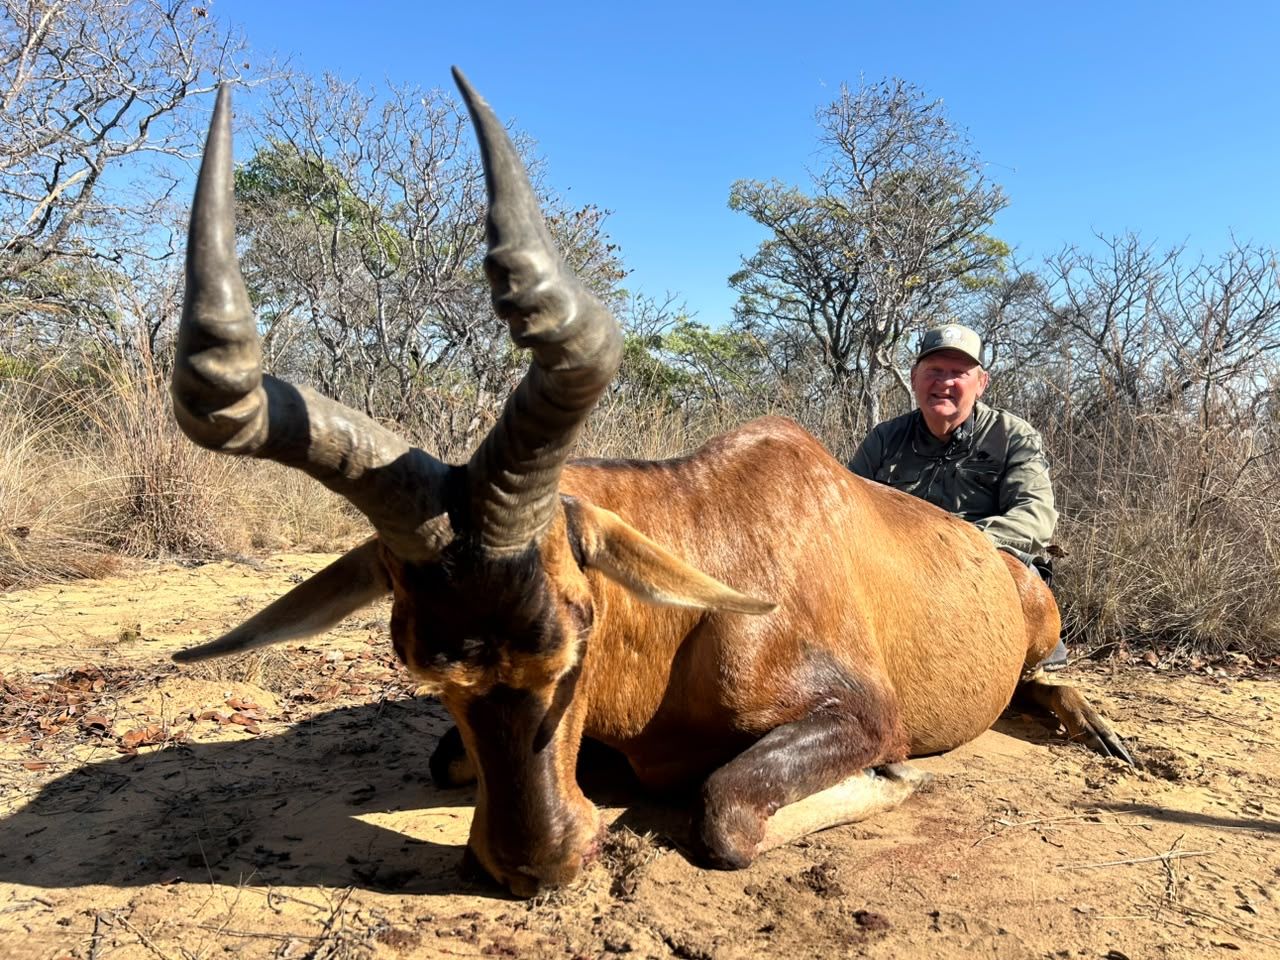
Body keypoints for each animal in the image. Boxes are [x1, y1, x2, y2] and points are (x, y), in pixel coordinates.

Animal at [171, 70, 1131, 898]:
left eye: (580, 627)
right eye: (415, 658)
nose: (537, 865)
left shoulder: (862, 716)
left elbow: (723, 813)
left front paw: (896, 780)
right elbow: (449, 758)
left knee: (1042, 678)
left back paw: (1100, 730)